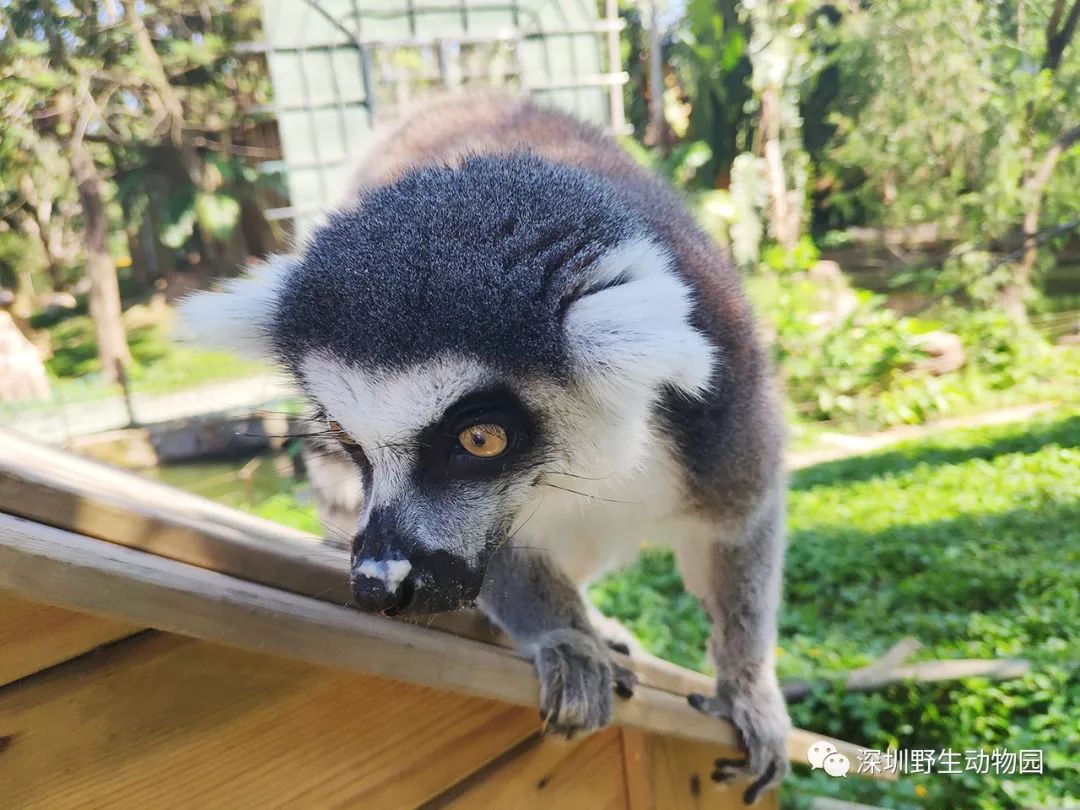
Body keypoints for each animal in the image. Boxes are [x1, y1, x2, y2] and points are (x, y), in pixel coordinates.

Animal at [180, 91, 790, 804]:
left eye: (481, 438)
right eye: (349, 440)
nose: (376, 584)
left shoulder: (721, 401)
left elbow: (740, 525)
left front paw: (747, 689)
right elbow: (503, 559)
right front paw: (567, 638)